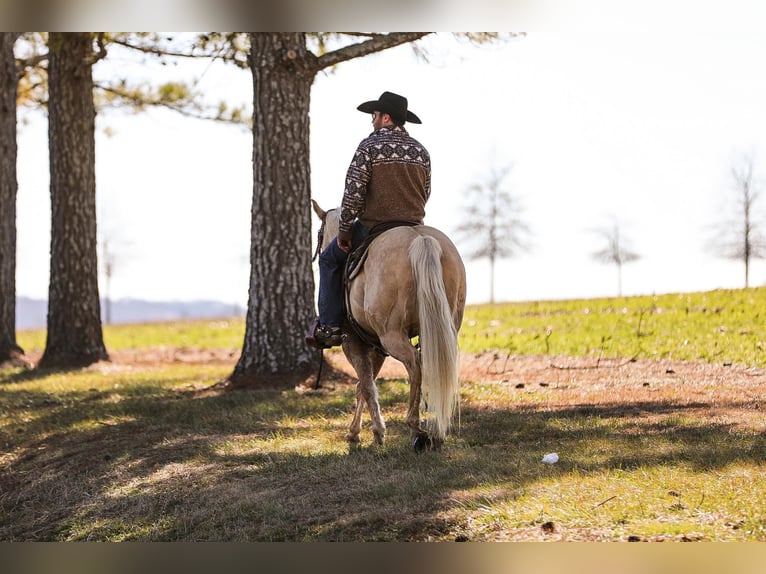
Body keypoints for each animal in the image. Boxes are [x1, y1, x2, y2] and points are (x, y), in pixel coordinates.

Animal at [312, 200, 468, 452]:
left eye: (319, 235)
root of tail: (421, 239)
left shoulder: (353, 343)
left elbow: (366, 386)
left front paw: (373, 433)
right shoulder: (377, 348)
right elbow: (364, 385)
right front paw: (358, 431)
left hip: (392, 335)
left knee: (415, 364)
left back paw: (416, 430)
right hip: (444, 329)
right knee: (435, 366)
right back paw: (438, 431)